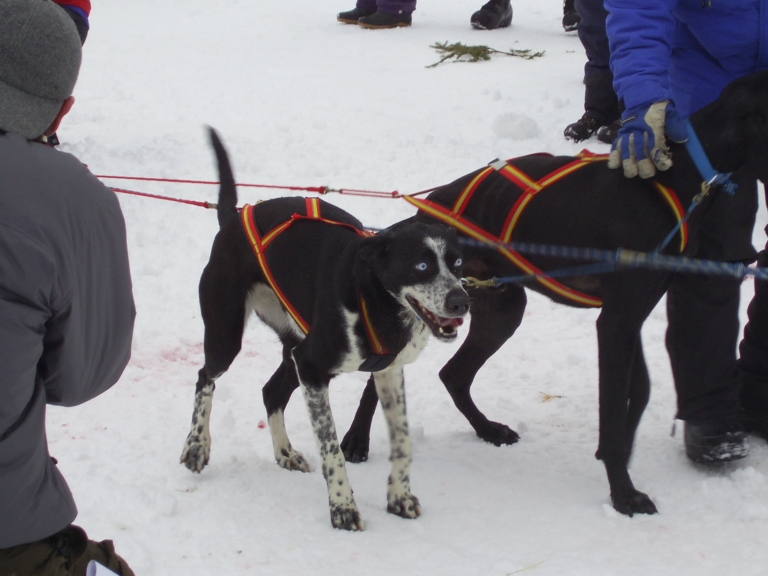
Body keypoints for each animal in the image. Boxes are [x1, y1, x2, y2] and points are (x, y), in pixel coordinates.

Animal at [180, 129, 470, 531]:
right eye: (422, 266)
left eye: (457, 263)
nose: (462, 301)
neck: (374, 300)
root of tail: (233, 220)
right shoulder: (313, 369)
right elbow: (332, 449)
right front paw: (343, 507)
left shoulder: (388, 372)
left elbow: (402, 442)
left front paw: (398, 497)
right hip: (229, 336)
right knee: (205, 376)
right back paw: (197, 445)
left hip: (294, 348)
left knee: (271, 391)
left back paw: (284, 452)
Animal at [341, 71, 768, 516]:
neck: (676, 178)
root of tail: (425, 210)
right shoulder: (616, 322)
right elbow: (613, 410)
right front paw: (623, 492)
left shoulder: (630, 316)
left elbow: (639, 393)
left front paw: (619, 452)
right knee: (386, 377)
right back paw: (356, 439)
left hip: (501, 308)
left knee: (453, 374)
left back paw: (487, 429)